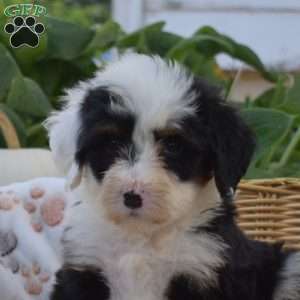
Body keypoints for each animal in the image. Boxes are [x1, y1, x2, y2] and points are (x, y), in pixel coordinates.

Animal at [47, 54, 300, 300]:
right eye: (111, 142)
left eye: (173, 145)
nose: (132, 197)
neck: (142, 237)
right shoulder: (85, 266)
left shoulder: (202, 269)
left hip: (290, 266)